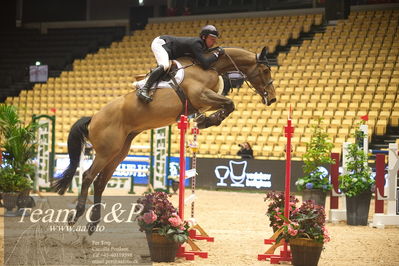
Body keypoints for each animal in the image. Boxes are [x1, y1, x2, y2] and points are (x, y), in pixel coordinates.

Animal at [54, 46, 276, 234]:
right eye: (266, 70)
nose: (273, 99)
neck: (209, 65)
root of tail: (93, 118)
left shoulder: (205, 101)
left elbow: (228, 105)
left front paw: (207, 120)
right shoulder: (201, 96)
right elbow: (229, 103)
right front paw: (208, 121)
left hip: (119, 151)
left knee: (100, 182)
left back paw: (93, 223)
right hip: (106, 151)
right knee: (88, 176)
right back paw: (76, 216)